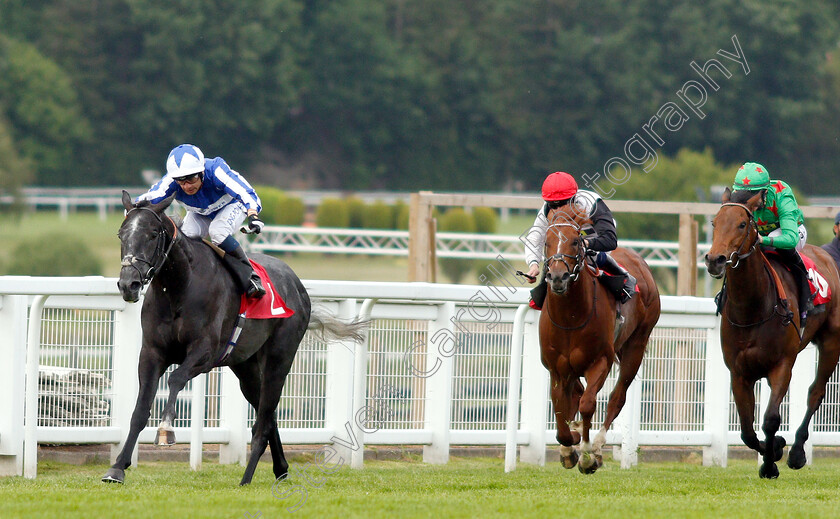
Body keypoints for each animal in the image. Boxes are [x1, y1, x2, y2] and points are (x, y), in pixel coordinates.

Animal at [101, 192, 364, 488]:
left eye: (153, 234)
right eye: (122, 234)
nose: (129, 284)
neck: (179, 288)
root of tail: (297, 285)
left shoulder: (204, 353)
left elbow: (176, 378)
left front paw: (166, 429)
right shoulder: (151, 353)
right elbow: (139, 410)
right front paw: (117, 468)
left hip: (279, 358)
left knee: (264, 420)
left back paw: (247, 478)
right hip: (246, 368)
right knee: (268, 413)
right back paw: (281, 468)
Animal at [540, 205, 664, 474]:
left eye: (576, 241)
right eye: (546, 242)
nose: (558, 277)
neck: (571, 317)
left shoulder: (600, 361)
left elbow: (588, 404)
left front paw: (587, 455)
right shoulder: (557, 367)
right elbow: (559, 407)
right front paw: (569, 447)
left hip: (636, 344)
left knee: (617, 397)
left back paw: (596, 446)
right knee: (576, 393)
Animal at [704, 189, 840, 482]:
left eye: (742, 224)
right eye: (714, 223)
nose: (714, 260)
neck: (751, 309)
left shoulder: (782, 365)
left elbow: (770, 419)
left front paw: (770, 463)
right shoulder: (739, 372)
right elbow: (747, 429)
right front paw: (773, 448)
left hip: (831, 342)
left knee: (815, 392)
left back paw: (798, 452)